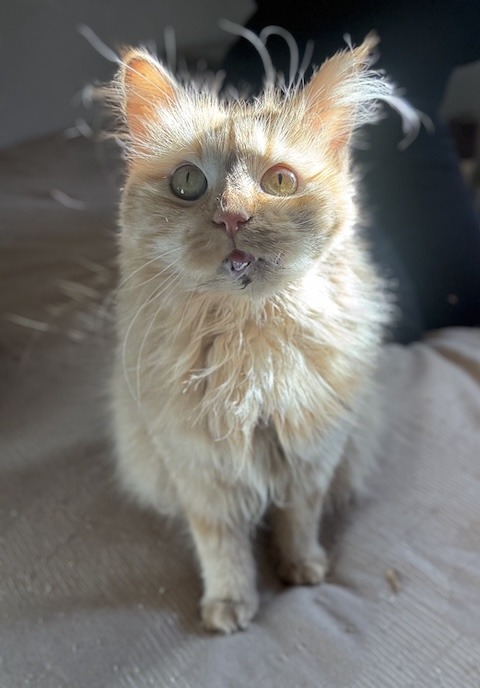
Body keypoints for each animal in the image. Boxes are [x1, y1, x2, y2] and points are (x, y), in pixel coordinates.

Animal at [110, 33, 415, 633]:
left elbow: (299, 519)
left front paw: (301, 568)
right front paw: (230, 605)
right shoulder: (200, 468)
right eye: (188, 183)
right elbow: (222, 547)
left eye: (280, 182)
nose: (231, 217)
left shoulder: (313, 451)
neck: (250, 351)